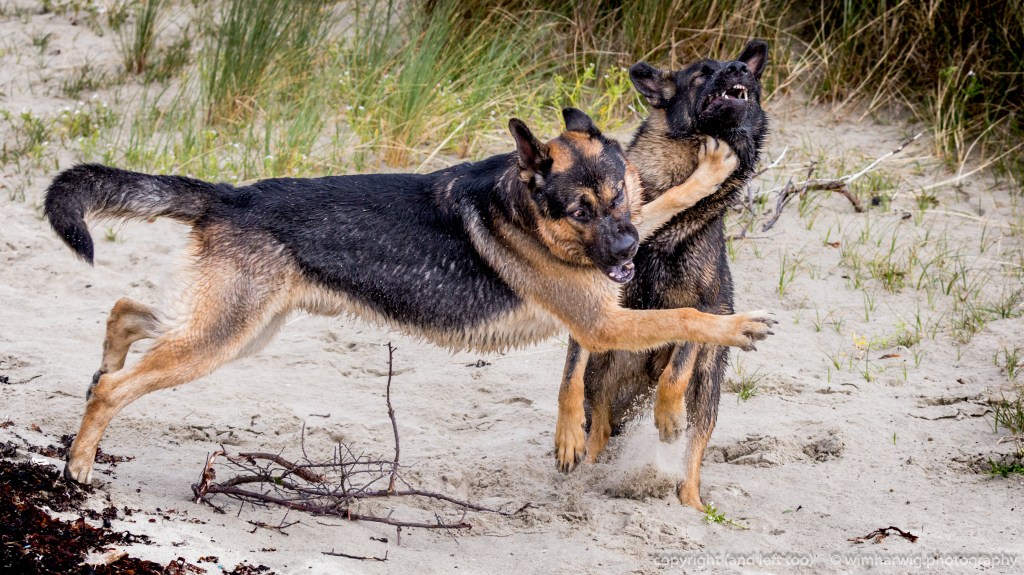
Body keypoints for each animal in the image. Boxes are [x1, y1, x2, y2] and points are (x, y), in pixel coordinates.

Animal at [44, 107, 775, 486]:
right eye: (580, 210)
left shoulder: (611, 284)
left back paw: (102, 367)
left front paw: (708, 172)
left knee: (127, 314)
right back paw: (80, 461)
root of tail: (229, 195)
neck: (523, 207)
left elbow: (667, 204)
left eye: (620, 194)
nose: (624, 258)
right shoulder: (600, 321)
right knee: (119, 385)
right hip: (221, 339)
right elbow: (687, 314)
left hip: (240, 331)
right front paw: (738, 326)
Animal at [557, 41, 771, 512]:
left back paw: (691, 502)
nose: (740, 68)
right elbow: (569, 377)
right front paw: (567, 433)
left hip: (707, 390)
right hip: (607, 371)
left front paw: (668, 412)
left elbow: (679, 365)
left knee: (692, 450)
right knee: (600, 424)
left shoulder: (703, 303)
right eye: (702, 73)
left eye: (746, 73)